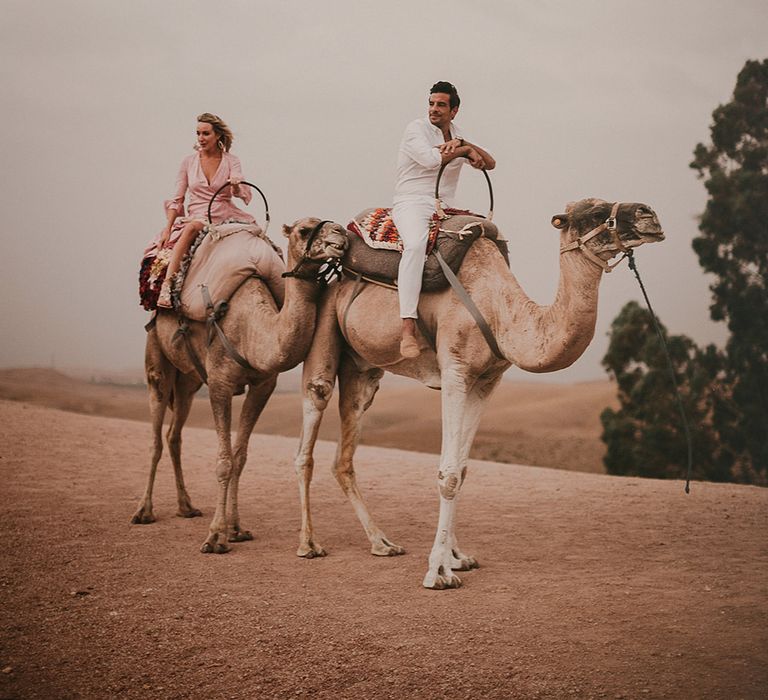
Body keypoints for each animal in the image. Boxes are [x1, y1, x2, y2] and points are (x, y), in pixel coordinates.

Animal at [132, 216, 348, 556]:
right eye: (303, 230)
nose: (341, 233)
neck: (251, 330)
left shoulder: (262, 386)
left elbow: (240, 456)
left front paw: (235, 529)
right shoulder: (220, 383)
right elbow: (223, 461)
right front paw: (214, 537)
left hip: (190, 380)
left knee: (174, 434)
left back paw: (186, 506)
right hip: (157, 358)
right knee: (155, 434)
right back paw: (144, 511)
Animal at [292, 200, 664, 588]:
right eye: (594, 213)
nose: (648, 213)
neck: (499, 311)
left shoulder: (486, 381)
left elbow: (464, 469)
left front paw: (456, 557)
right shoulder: (455, 371)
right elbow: (448, 474)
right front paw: (438, 572)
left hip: (363, 370)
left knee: (345, 453)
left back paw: (381, 543)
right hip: (325, 329)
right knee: (310, 427)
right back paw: (308, 544)